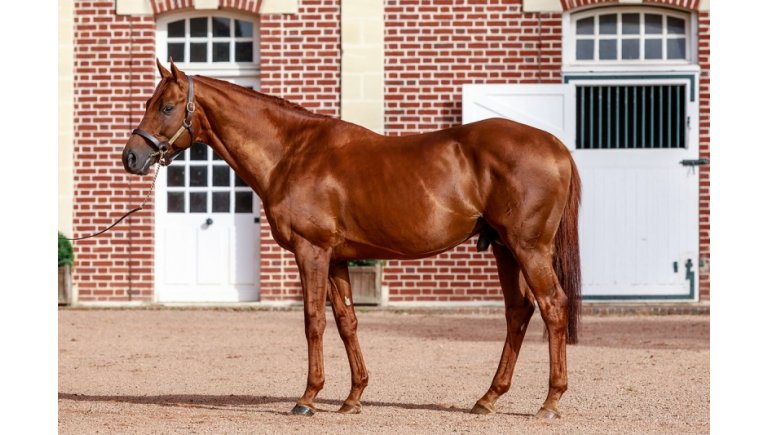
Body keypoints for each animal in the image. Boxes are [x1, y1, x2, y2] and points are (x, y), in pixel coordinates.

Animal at [122, 60, 582, 419]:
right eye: (148, 103)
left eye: (166, 106)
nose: (132, 157)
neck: (292, 153)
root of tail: (555, 145)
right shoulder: (339, 258)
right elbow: (347, 322)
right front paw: (353, 397)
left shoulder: (311, 252)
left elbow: (314, 320)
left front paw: (308, 397)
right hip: (505, 249)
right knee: (519, 312)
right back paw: (488, 398)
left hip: (528, 248)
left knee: (552, 307)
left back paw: (550, 402)